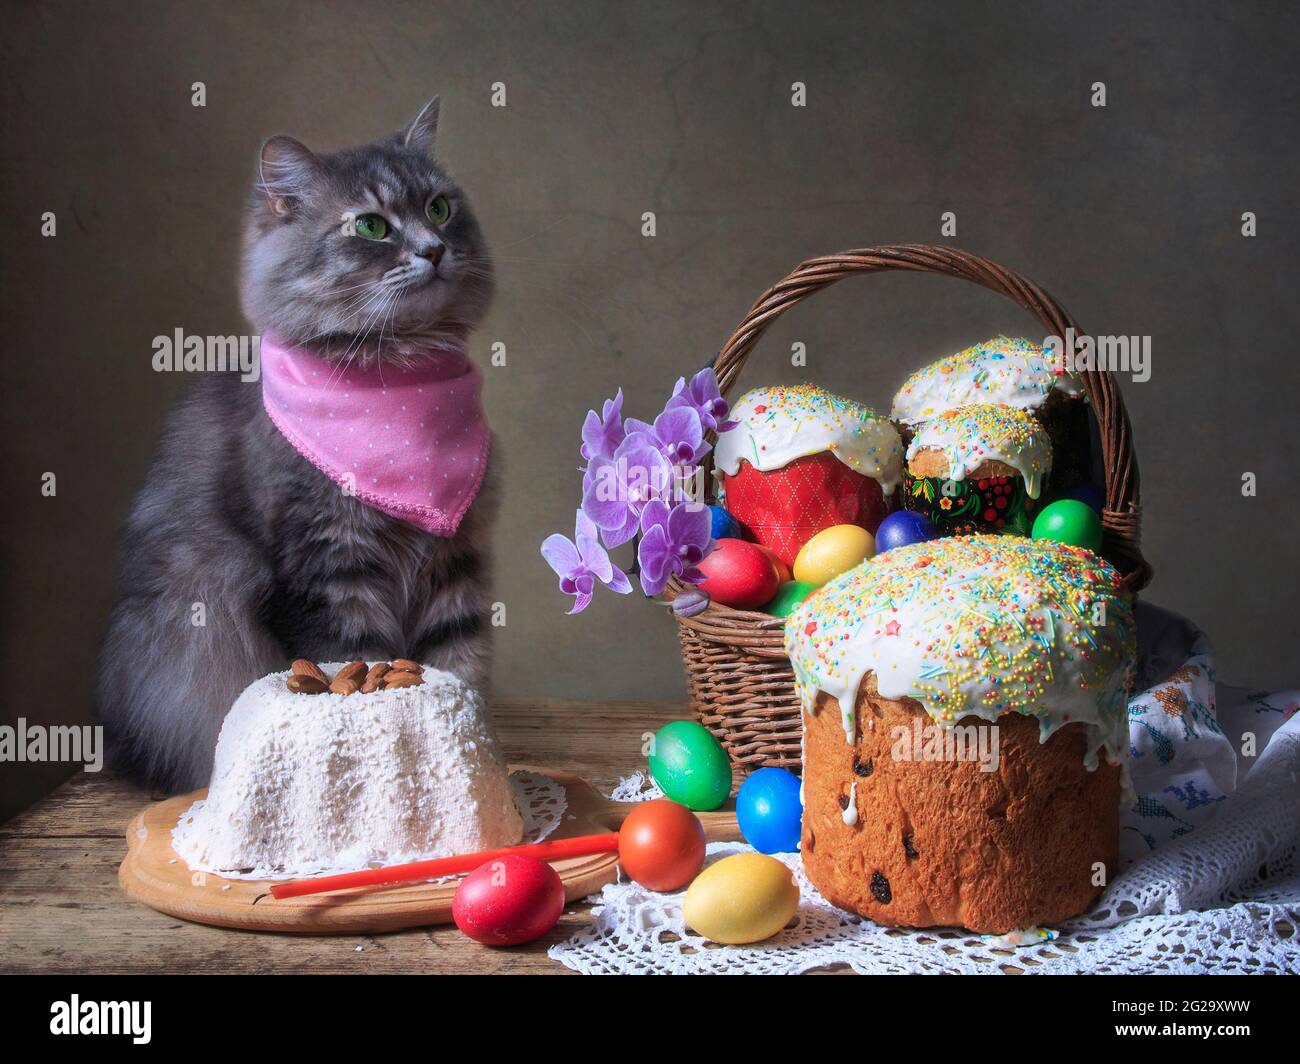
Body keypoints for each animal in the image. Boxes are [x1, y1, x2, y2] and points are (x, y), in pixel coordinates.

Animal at [97, 101, 496, 785]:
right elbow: (356, 661)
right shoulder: (327, 567)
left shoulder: (454, 560)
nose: (435, 248)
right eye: (370, 226)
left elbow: (459, 665)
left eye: (440, 208)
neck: (400, 378)